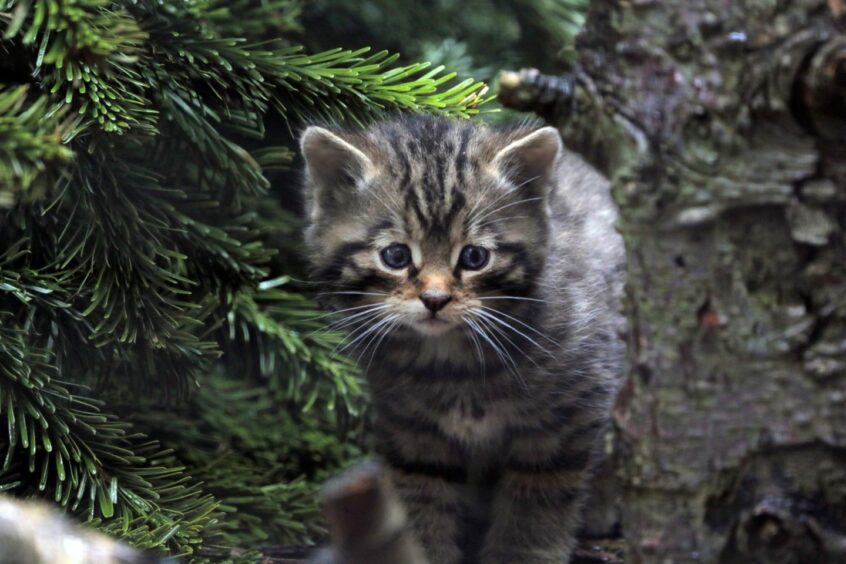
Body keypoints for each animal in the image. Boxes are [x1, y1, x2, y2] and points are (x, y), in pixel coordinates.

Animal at [302, 115, 628, 564]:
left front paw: (520, 553)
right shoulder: (410, 427)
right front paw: (422, 549)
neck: (454, 364)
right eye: (395, 256)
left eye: (475, 257)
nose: (435, 299)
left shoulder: (572, 408)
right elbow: (422, 492)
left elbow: (538, 495)